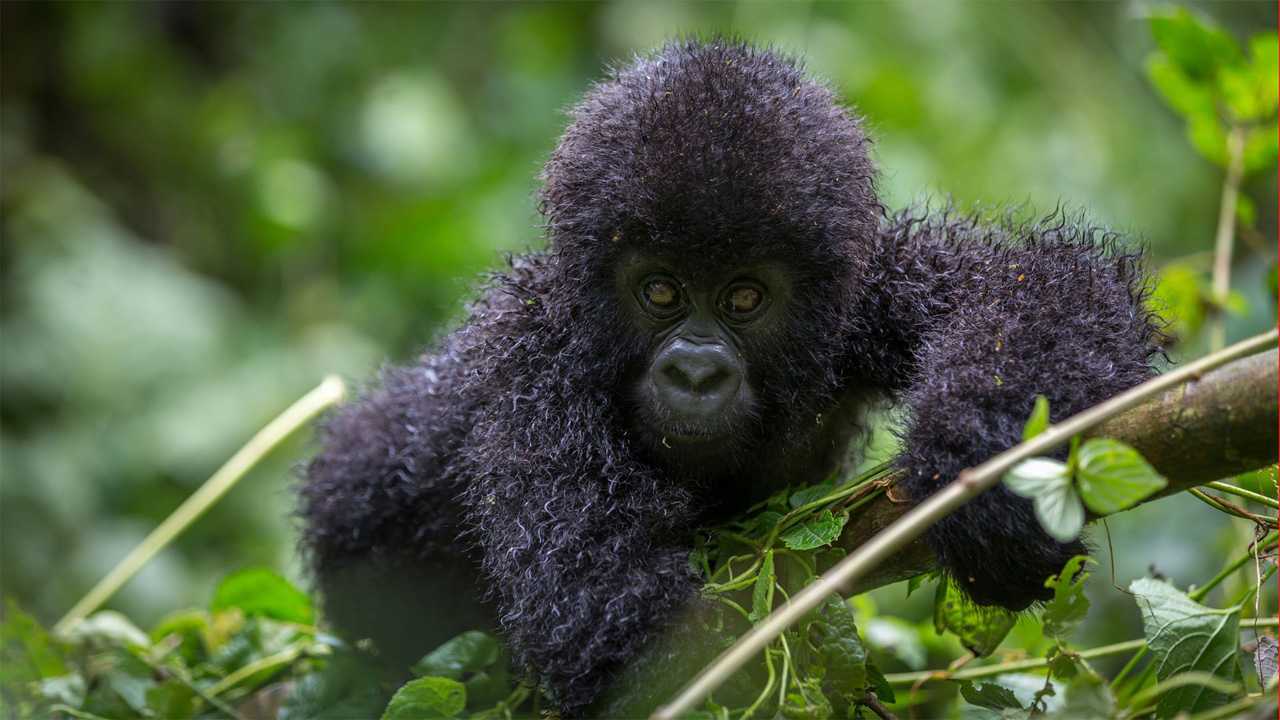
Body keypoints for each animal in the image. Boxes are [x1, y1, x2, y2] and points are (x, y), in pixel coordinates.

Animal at [296, 37, 1162, 712]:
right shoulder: (533, 366)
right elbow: (619, 632)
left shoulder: (869, 287)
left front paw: (988, 471)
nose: (694, 372)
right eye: (660, 292)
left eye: (745, 297)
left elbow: (1039, 287)